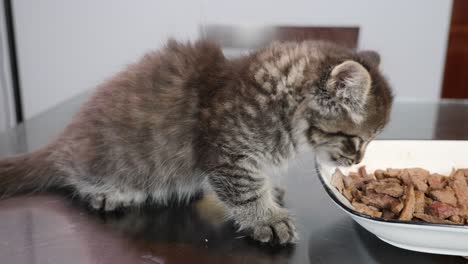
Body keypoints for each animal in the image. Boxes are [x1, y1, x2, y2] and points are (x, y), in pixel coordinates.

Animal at [0, 40, 394, 244]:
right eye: (358, 141)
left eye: (371, 141)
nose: (358, 162)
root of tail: (64, 140)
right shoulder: (226, 154)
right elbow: (245, 191)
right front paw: (267, 218)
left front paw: (271, 193)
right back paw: (106, 193)